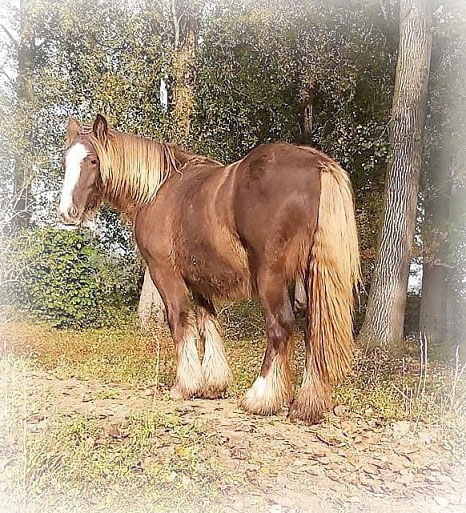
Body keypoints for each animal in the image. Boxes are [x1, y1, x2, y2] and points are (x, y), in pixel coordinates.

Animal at [58, 113, 360, 423]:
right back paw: (307, 404)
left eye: (93, 160)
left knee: (280, 327)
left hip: (271, 277)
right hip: (309, 275)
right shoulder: (199, 280)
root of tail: (317, 165)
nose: (67, 212)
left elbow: (179, 320)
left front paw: (186, 386)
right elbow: (208, 323)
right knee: (314, 331)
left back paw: (260, 398)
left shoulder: (165, 273)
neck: (156, 191)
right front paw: (214, 383)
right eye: (67, 159)